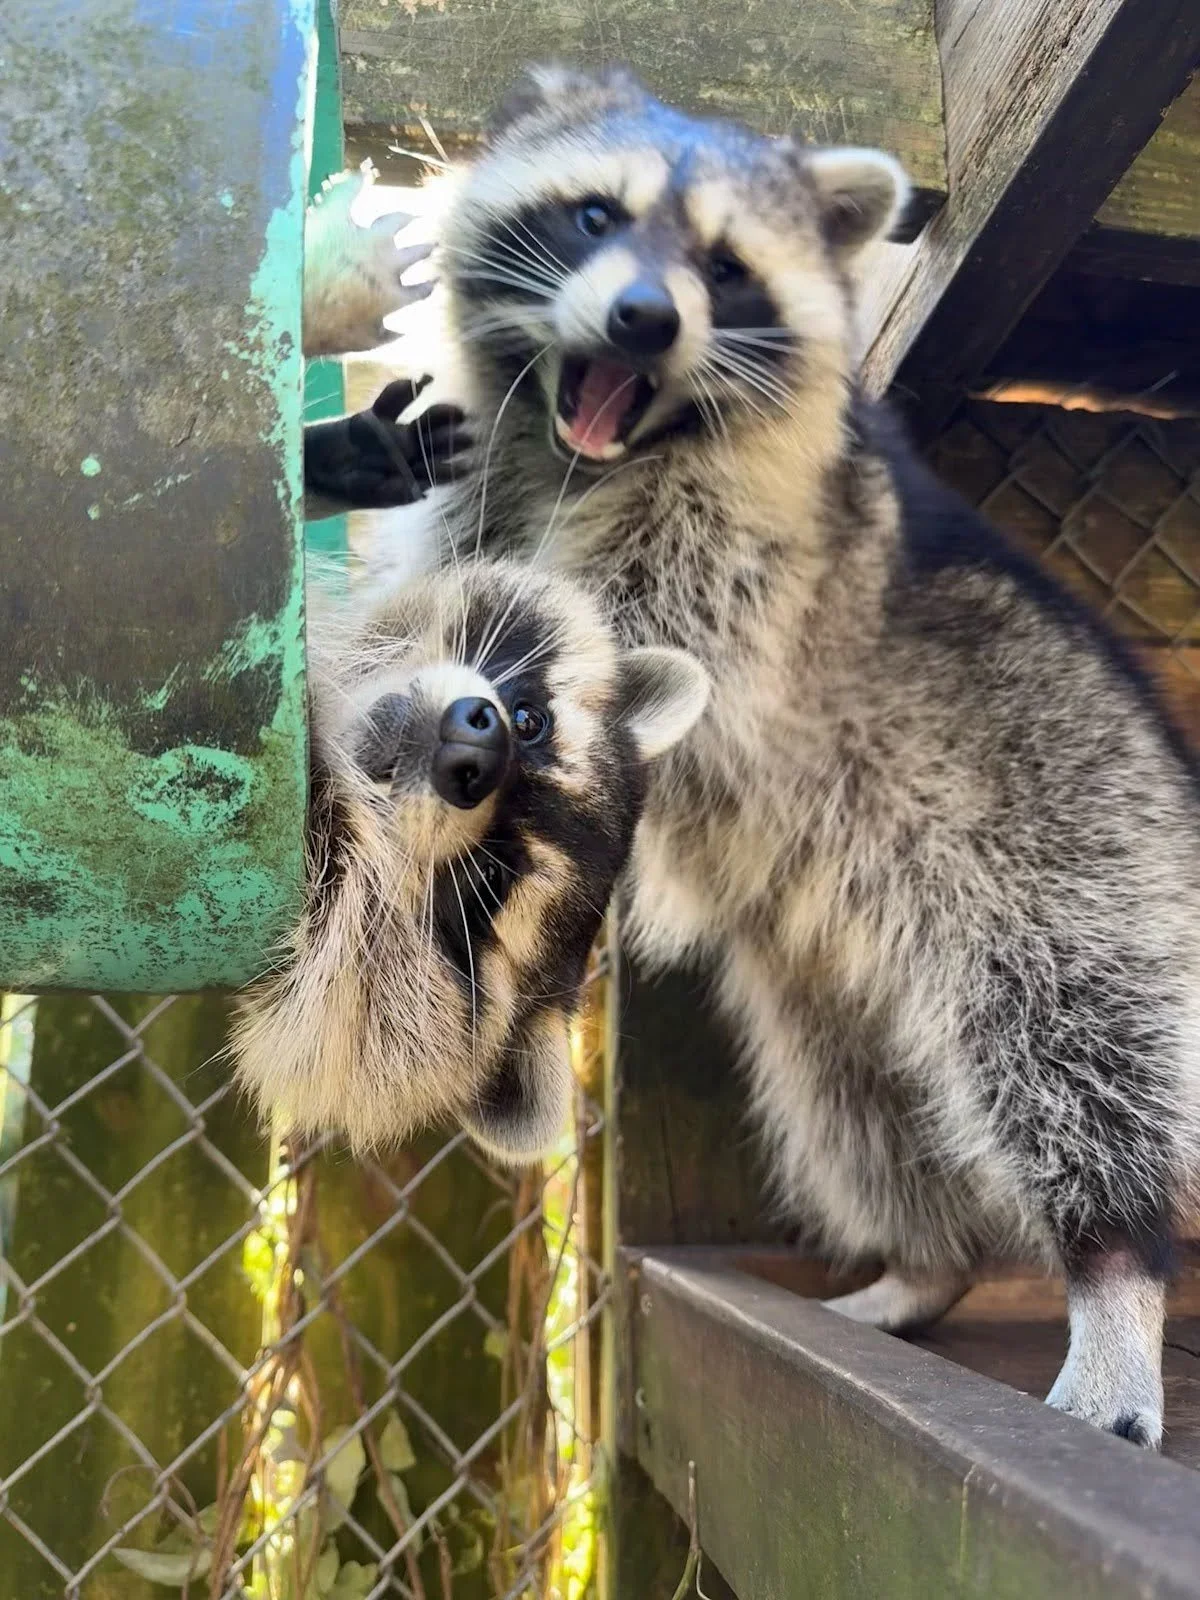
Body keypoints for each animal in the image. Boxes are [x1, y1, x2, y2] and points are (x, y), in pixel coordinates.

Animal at [316, 66, 1200, 1448]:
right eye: (592, 215)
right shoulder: (474, 491)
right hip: (836, 978)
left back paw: (1116, 1277)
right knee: (863, 1111)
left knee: (1076, 1044)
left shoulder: (759, 561)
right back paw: (928, 1263)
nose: (641, 320)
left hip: (1067, 815)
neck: (591, 452)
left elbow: (635, 647)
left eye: (727, 269)